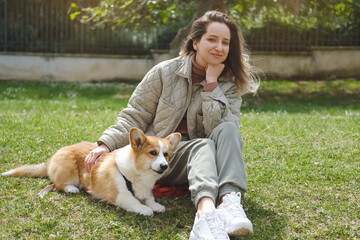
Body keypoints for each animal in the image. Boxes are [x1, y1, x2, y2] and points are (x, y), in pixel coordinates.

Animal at [1, 127, 181, 216]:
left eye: (166, 154)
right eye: (153, 153)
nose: (164, 166)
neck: (139, 174)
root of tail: (50, 160)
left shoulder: (146, 190)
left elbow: (150, 198)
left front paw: (156, 206)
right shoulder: (119, 194)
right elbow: (134, 202)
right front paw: (145, 209)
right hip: (69, 170)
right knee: (57, 184)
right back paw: (71, 188)